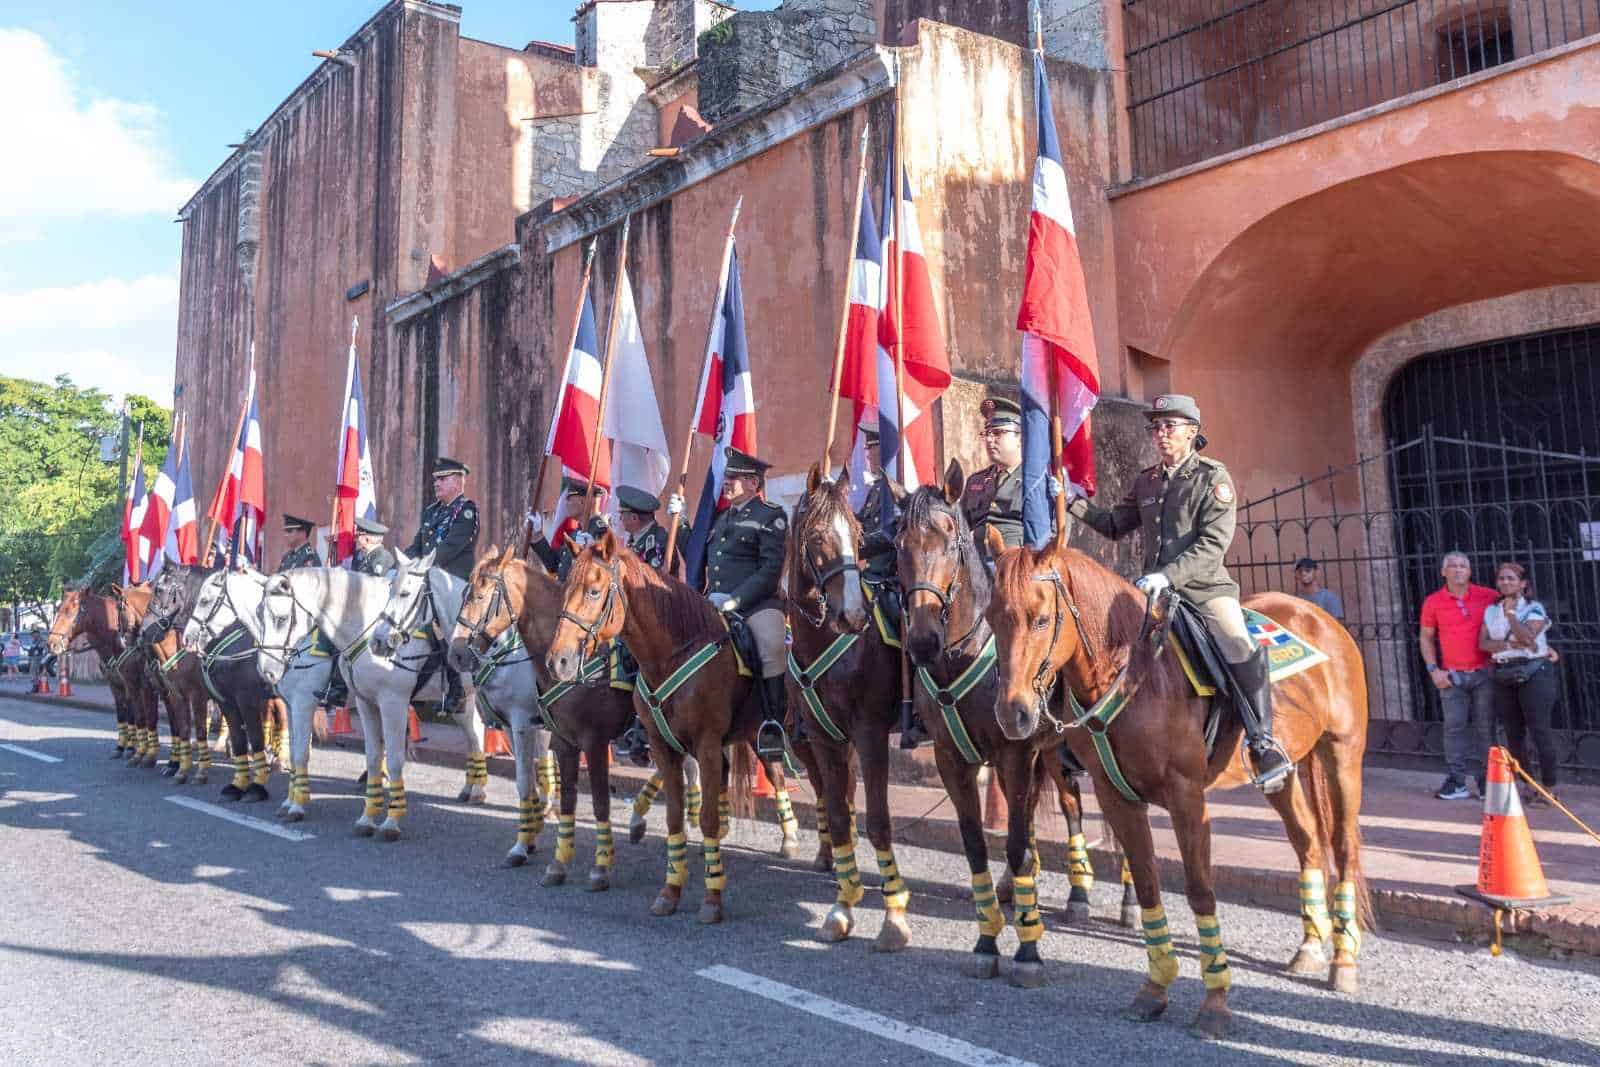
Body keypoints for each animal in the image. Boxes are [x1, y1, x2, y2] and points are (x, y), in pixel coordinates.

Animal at [48, 585, 160, 767]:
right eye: (58, 610)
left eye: (71, 612)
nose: (52, 643)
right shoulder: (116, 684)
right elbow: (123, 715)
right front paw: (122, 748)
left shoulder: (136, 684)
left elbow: (139, 716)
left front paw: (134, 749)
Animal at [444, 547, 643, 889]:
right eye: (463, 594)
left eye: (481, 596)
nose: (456, 653)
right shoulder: (525, 728)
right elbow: (535, 781)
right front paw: (530, 837)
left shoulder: (531, 724)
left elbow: (532, 782)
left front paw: (524, 844)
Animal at [544, 534, 774, 927]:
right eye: (564, 590)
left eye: (593, 590)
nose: (558, 661)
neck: (671, 655)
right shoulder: (662, 745)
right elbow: (673, 817)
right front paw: (670, 891)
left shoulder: (707, 744)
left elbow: (707, 818)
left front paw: (712, 898)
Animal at [889, 463, 1100, 985]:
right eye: (899, 543)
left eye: (950, 538)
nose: (923, 639)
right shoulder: (952, 758)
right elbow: (977, 846)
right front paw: (987, 941)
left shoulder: (1016, 754)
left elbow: (1019, 843)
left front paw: (1028, 949)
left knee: (1078, 807)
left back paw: (1091, 896)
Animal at [985, 531, 1376, 1036]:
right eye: (992, 618)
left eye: (1042, 618)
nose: (1012, 713)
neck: (1133, 672)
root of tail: (1318, 615)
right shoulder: (1117, 796)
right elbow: (1148, 882)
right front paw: (1155, 987)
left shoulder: (1187, 796)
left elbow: (1199, 889)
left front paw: (1215, 1001)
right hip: (1284, 775)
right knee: (1307, 841)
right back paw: (1310, 946)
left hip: (1342, 755)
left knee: (1343, 848)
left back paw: (1343, 960)